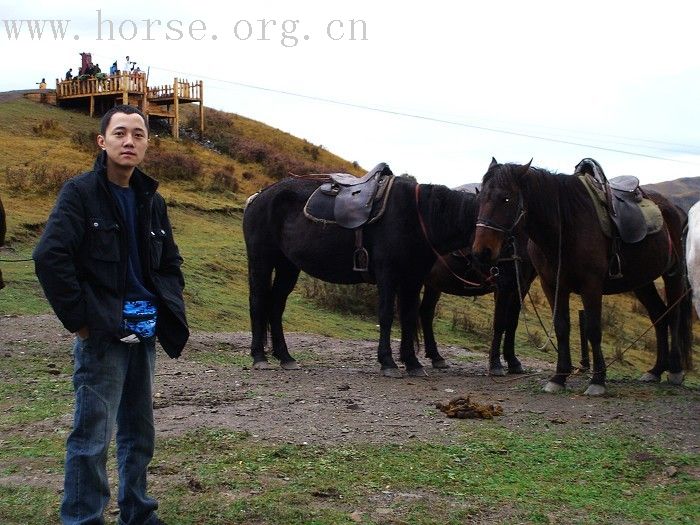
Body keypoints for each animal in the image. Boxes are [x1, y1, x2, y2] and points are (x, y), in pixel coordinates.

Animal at [243, 174, 478, 374]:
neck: (417, 217)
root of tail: (258, 197)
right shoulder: (388, 275)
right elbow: (386, 315)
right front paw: (388, 362)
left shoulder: (413, 279)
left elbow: (409, 316)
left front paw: (412, 362)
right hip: (261, 261)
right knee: (258, 301)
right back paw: (259, 357)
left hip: (288, 266)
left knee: (276, 304)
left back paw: (285, 357)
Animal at [422, 223, 536, 374]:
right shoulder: (503, 287)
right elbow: (499, 323)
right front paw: (495, 364)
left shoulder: (521, 287)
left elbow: (512, 324)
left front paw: (513, 361)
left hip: (433, 284)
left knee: (426, 312)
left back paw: (436, 357)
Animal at [474, 158, 692, 396]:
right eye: (480, 197)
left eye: (506, 198)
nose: (482, 251)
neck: (564, 226)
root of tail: (676, 210)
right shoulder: (552, 285)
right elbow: (561, 327)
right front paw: (559, 377)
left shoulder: (591, 285)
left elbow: (593, 329)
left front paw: (597, 380)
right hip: (641, 281)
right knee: (659, 315)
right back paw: (655, 370)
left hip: (673, 275)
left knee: (673, 315)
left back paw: (675, 370)